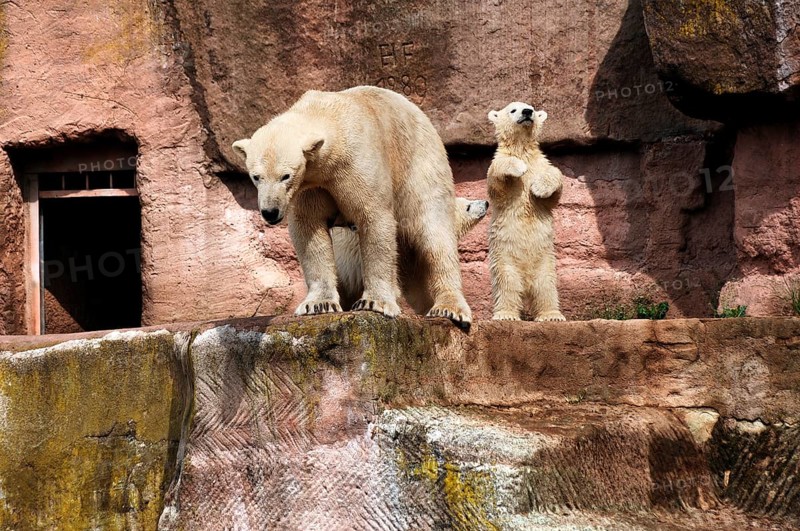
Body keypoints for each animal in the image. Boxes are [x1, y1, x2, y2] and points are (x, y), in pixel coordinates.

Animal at [232, 86, 472, 326]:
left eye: (285, 176)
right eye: (256, 177)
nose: (270, 212)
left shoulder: (355, 165)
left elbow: (375, 219)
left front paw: (374, 302)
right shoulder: (312, 185)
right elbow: (309, 229)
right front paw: (318, 304)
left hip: (419, 163)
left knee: (433, 229)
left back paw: (449, 307)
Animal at [486, 101, 565, 321]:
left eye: (532, 108)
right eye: (513, 109)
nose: (527, 112)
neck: (521, 147)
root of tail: (527, 281)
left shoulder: (541, 163)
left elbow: (555, 181)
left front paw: (539, 188)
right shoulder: (499, 166)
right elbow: (498, 181)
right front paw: (518, 167)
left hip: (545, 260)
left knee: (546, 286)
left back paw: (551, 315)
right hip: (504, 257)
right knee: (507, 284)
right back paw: (506, 314)